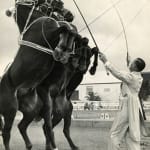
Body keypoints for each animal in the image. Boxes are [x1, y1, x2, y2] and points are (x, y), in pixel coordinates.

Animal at [0, 1, 78, 150]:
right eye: (58, 3)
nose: (70, 15)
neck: (34, 19)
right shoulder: (49, 33)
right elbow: (65, 28)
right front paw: (61, 49)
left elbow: (70, 29)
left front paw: (66, 50)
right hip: (10, 109)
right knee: (6, 134)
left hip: (31, 111)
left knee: (22, 126)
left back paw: (31, 145)